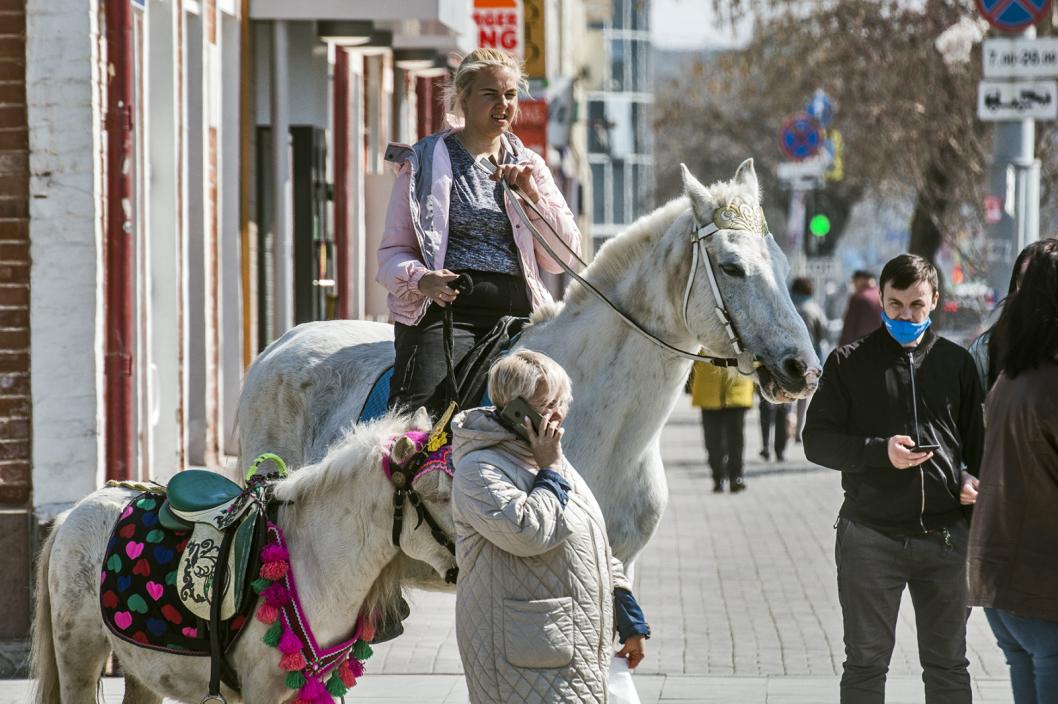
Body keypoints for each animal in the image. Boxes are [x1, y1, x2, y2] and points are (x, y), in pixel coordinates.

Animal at [32, 408, 454, 698]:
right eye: (438, 495)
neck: (314, 563)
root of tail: (74, 512)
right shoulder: (261, 689)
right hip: (78, 654)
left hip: (141, 668)